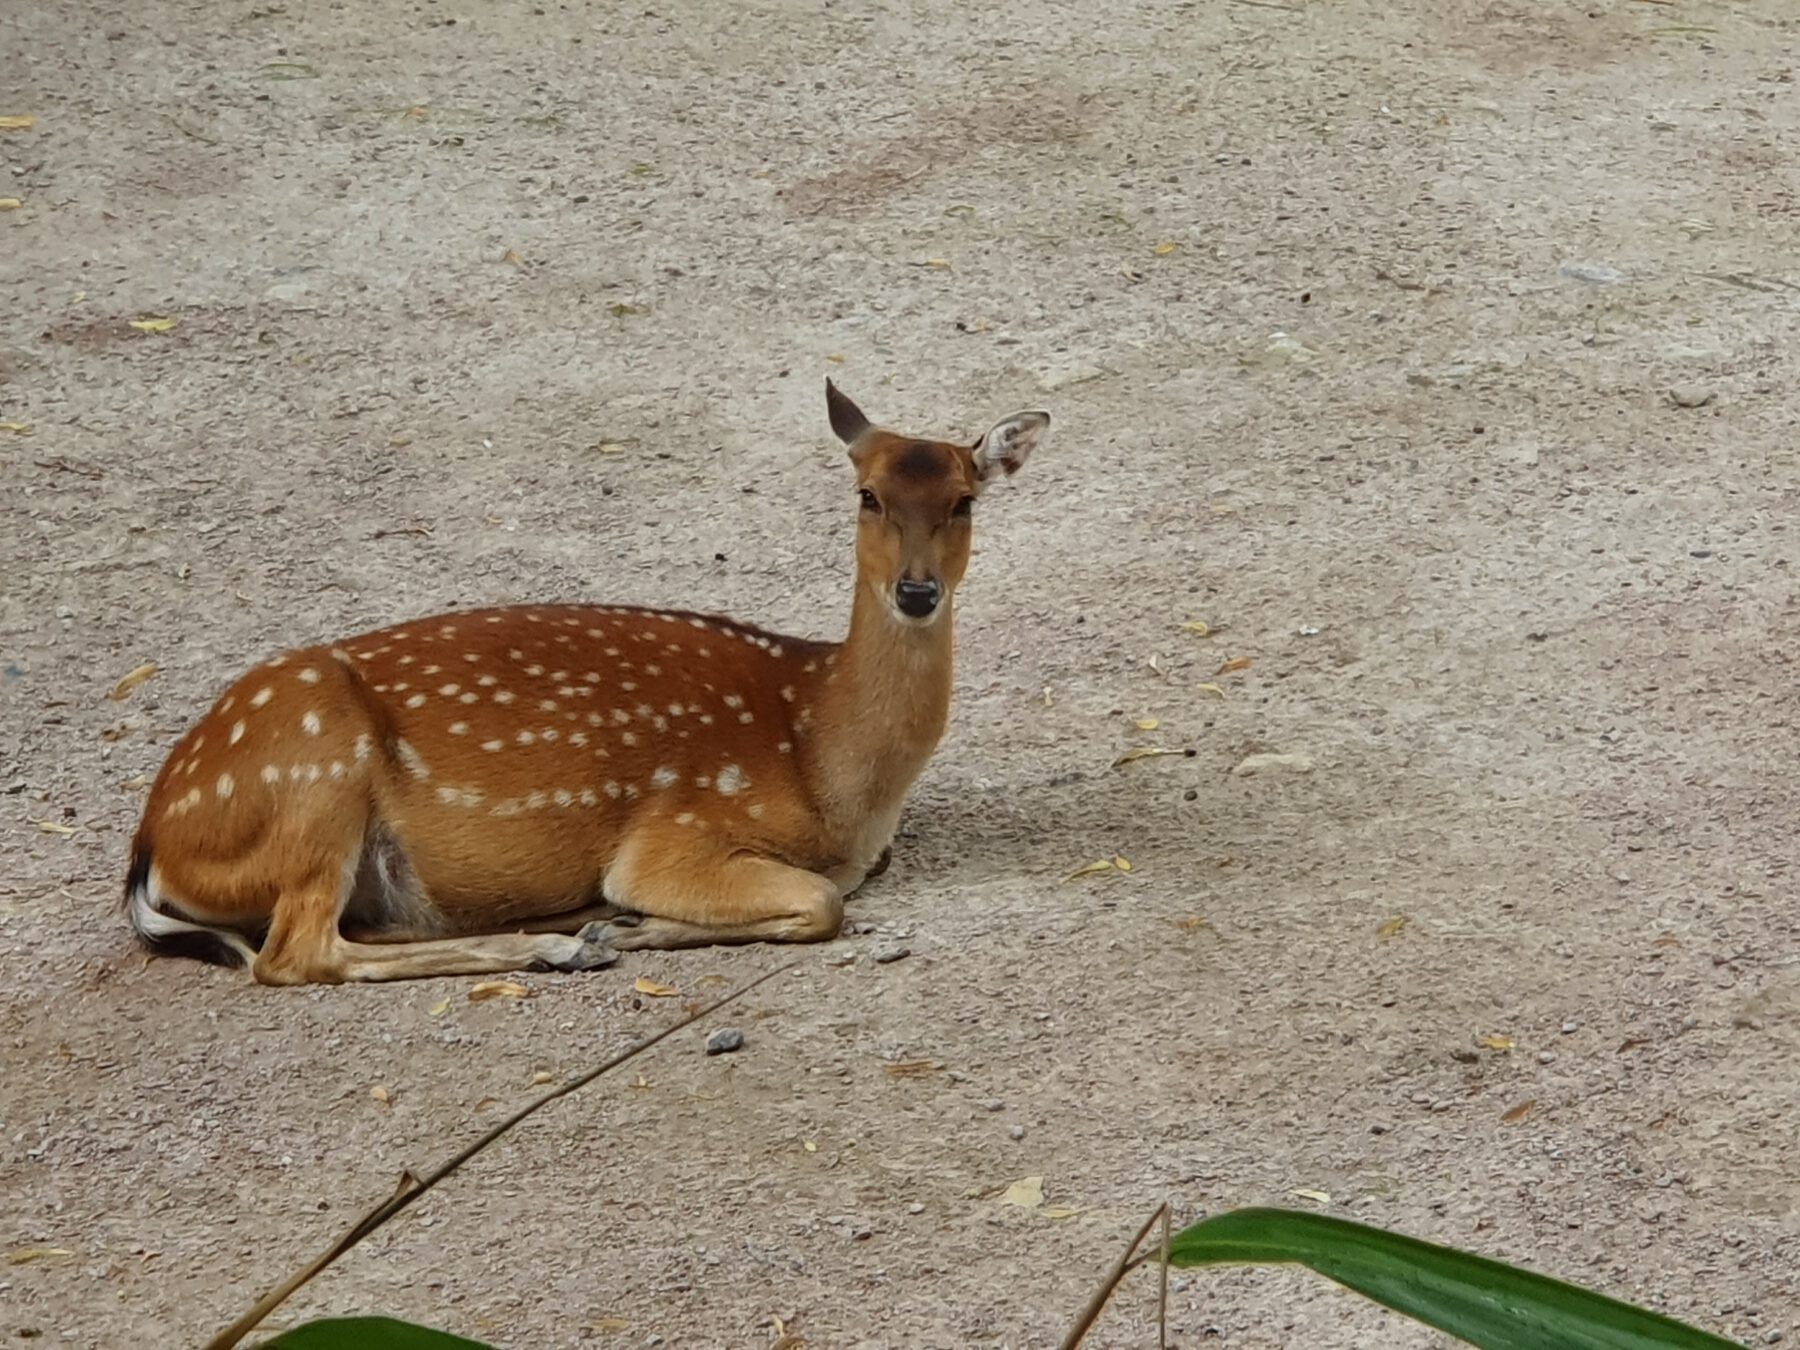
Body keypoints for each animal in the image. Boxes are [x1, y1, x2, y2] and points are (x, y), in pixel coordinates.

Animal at [126, 381, 1051, 986]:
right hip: (316, 773)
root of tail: (152, 845)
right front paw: (632, 926)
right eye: (867, 495)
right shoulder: (675, 830)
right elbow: (823, 903)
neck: (826, 760)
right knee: (292, 955)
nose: (917, 592)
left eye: (965, 501)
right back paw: (558, 944)